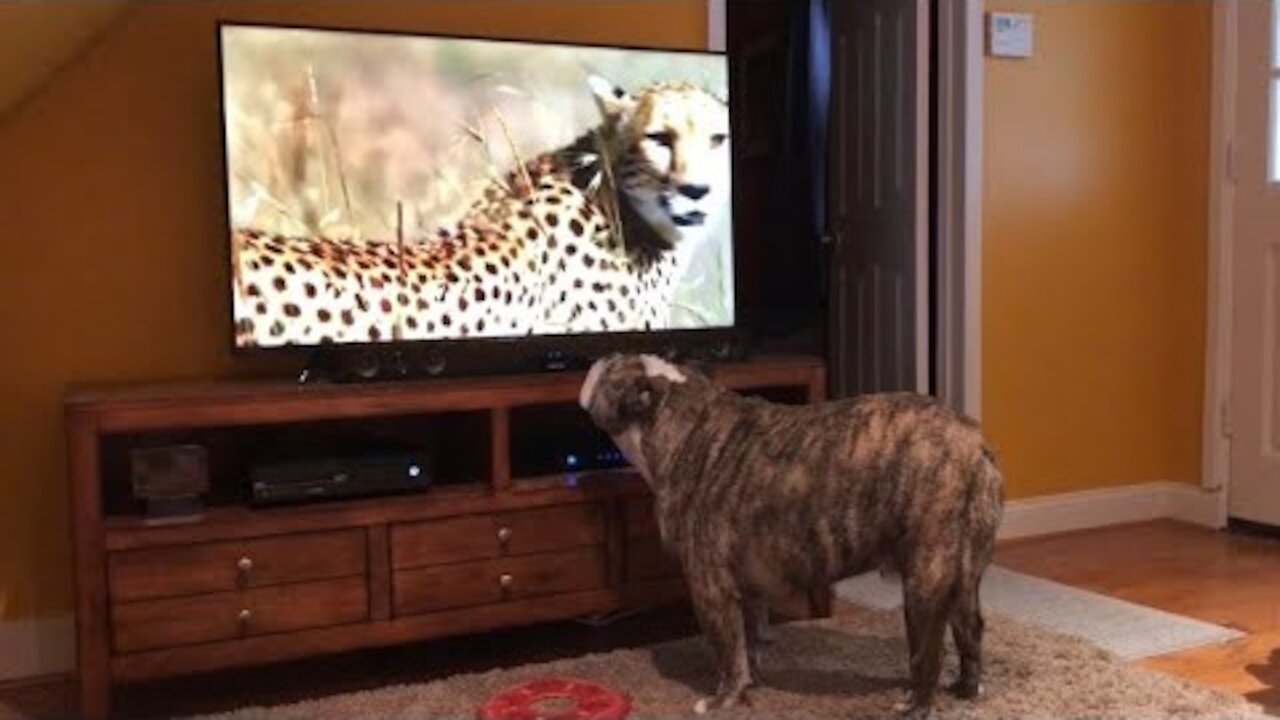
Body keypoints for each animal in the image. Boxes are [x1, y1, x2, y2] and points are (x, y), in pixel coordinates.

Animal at [576, 351, 1003, 712]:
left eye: (612, 369)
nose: (601, 355)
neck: (681, 422)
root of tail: (973, 443)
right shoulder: (746, 591)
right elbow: (747, 642)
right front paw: (750, 685)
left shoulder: (710, 589)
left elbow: (726, 651)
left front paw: (721, 701)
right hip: (963, 576)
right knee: (970, 630)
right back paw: (966, 691)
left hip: (924, 579)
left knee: (928, 650)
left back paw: (916, 704)